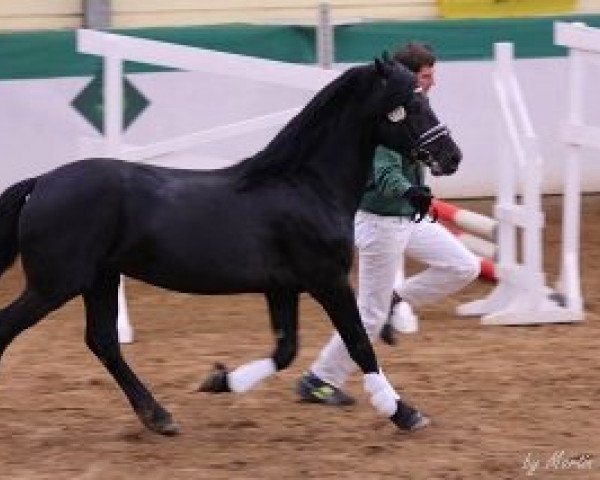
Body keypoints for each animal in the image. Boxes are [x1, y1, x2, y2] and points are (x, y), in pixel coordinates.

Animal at [0, 56, 460, 436]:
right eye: (412, 103)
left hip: (100, 278)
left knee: (104, 342)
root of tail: (41, 183)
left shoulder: (283, 287)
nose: (451, 156)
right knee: (14, 328)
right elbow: (359, 342)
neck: (306, 186)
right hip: (55, 284)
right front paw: (405, 413)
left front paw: (219, 381)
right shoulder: (327, 279)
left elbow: (285, 351)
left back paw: (159, 417)